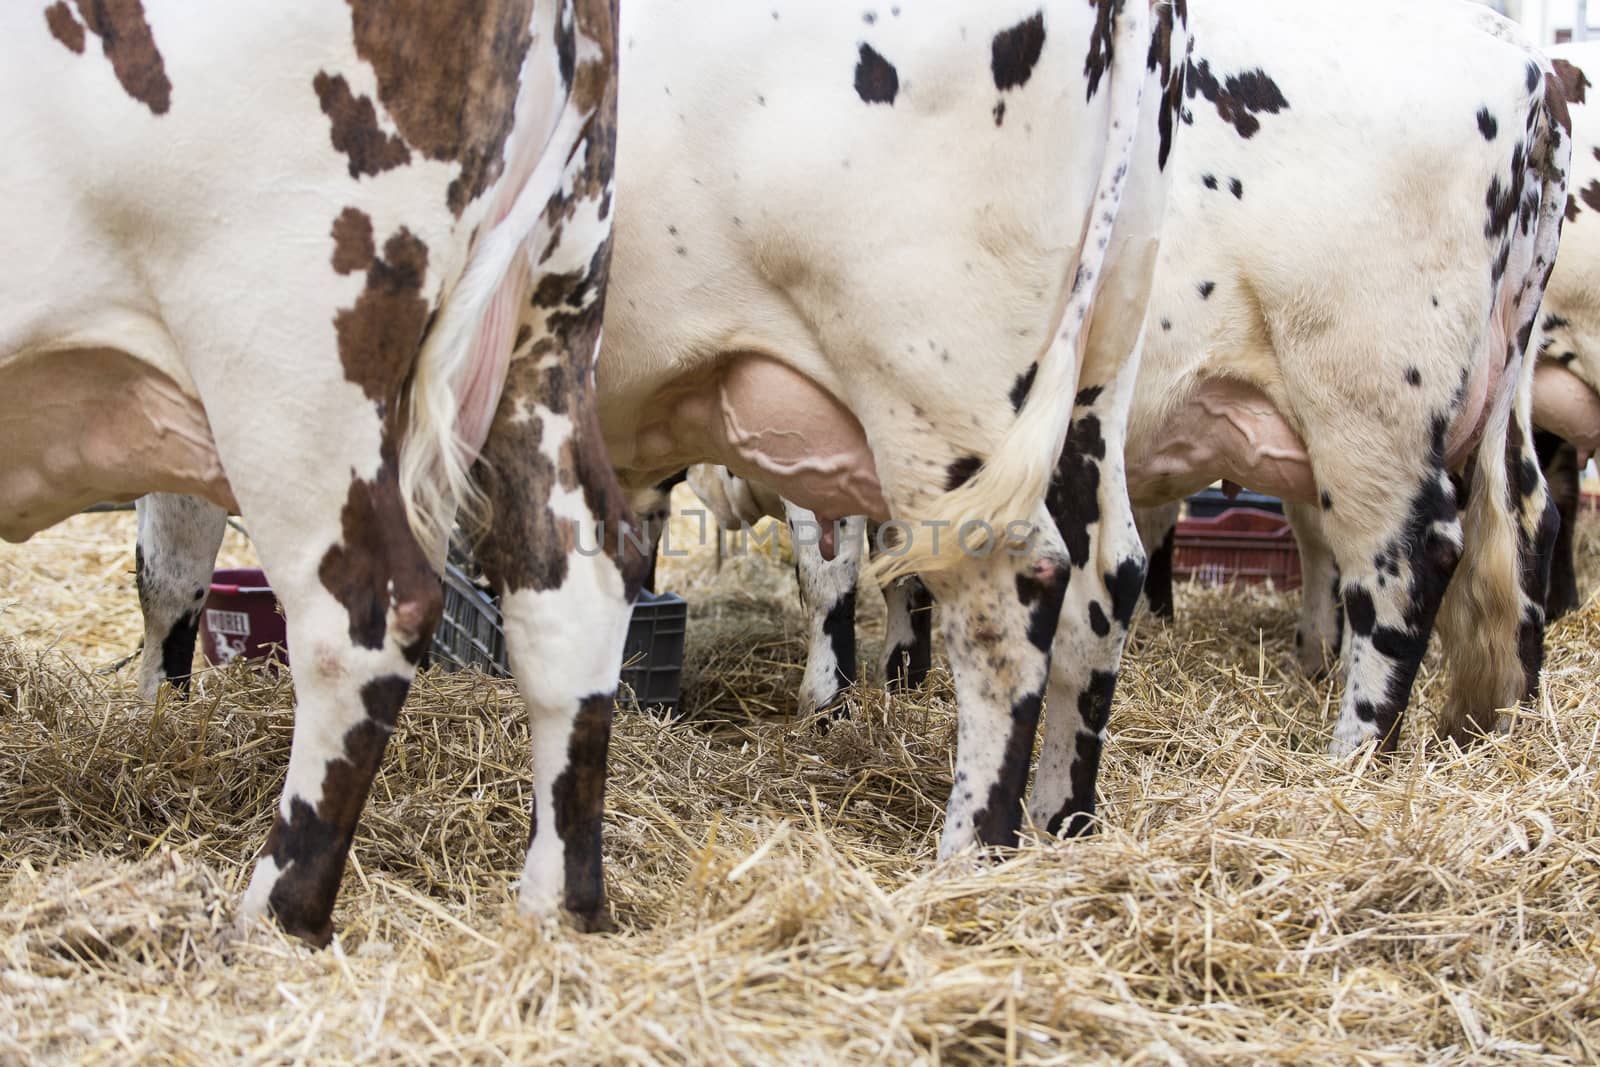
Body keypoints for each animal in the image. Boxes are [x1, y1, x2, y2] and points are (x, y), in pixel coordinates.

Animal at [6, 2, 633, 953]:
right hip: (552, 320)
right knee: (572, 590)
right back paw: (556, 909)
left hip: (287, 355)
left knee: (366, 614)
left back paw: (275, 915)